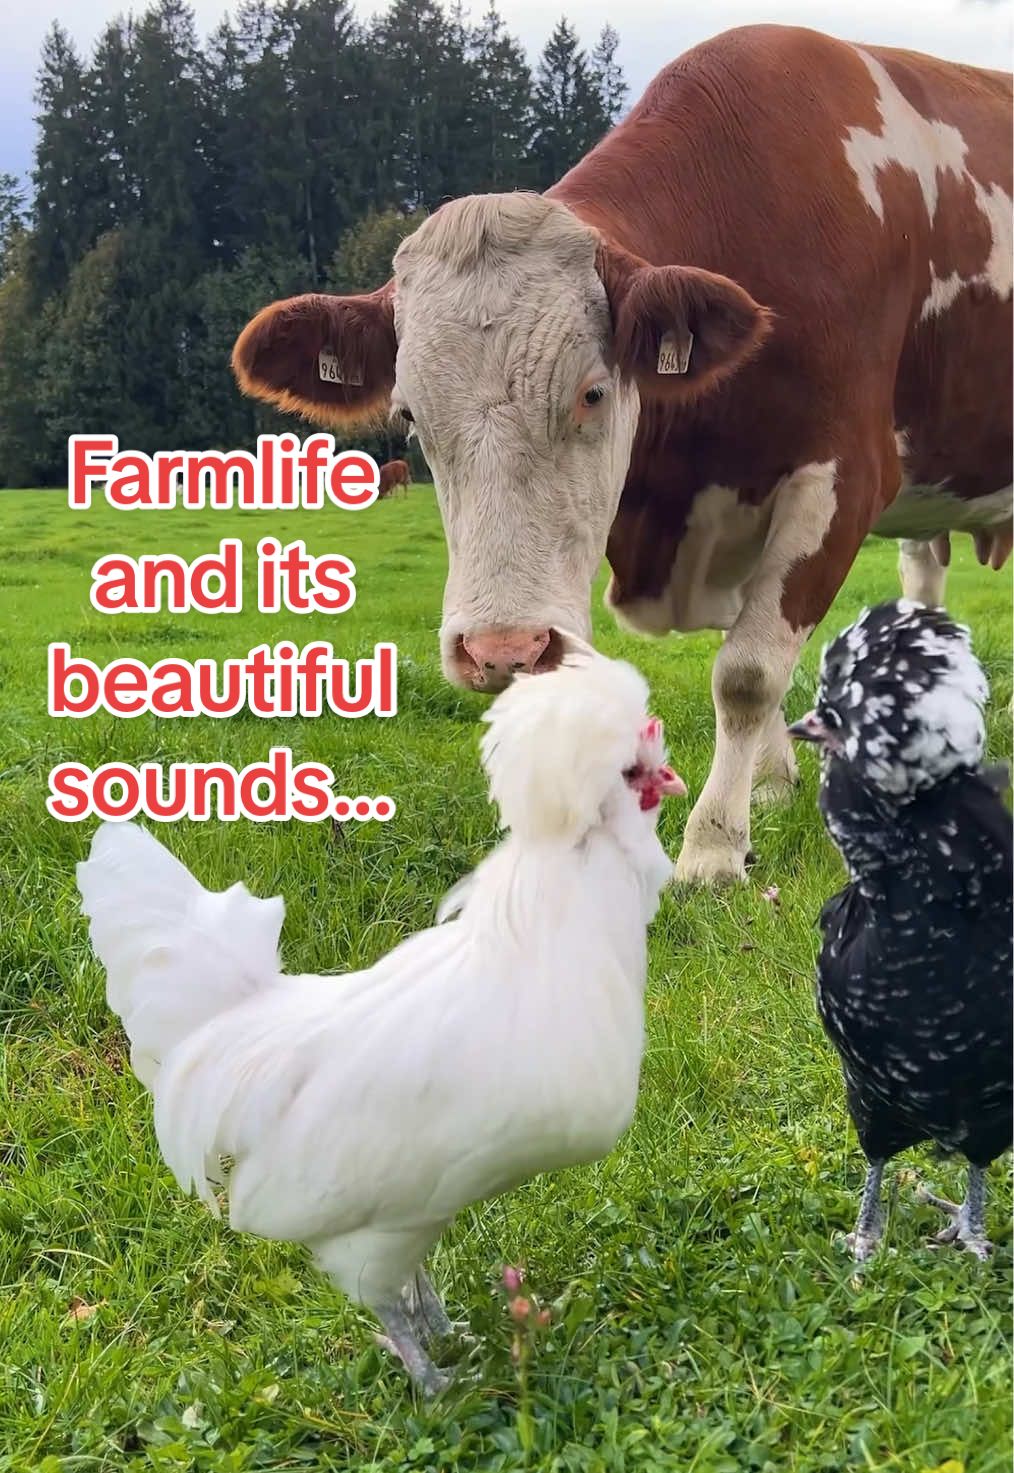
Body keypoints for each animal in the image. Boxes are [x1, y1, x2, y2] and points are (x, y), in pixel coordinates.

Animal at [231, 25, 1013, 885]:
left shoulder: (842, 477)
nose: (503, 649)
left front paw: (714, 845)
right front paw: (771, 786)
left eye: (593, 392)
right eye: (408, 417)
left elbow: (747, 670)